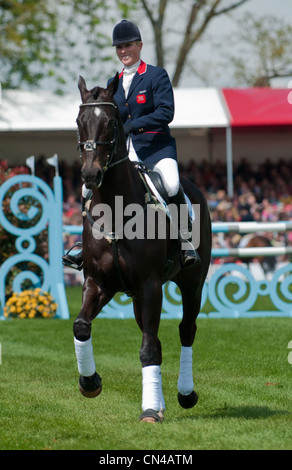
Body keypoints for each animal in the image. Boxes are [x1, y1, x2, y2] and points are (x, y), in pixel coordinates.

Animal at [72, 74, 211, 422]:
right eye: (80, 121)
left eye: (110, 122)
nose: (90, 175)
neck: (115, 208)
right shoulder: (99, 283)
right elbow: (81, 326)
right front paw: (90, 382)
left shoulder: (150, 286)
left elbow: (148, 349)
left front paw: (148, 409)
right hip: (136, 296)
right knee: (158, 341)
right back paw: (161, 402)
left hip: (192, 285)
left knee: (186, 330)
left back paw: (184, 395)